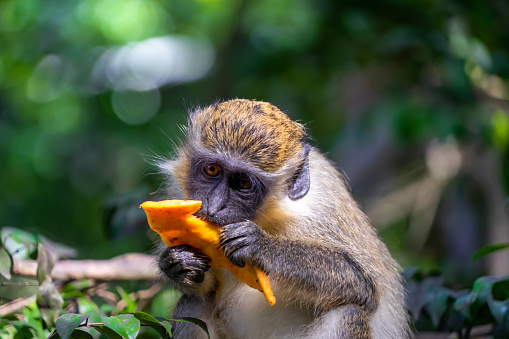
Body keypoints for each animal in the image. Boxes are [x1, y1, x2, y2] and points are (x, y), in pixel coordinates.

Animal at [153, 99, 410, 339]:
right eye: (212, 169)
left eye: (244, 183)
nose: (214, 206)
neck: (268, 216)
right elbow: (204, 290)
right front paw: (177, 262)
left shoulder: (321, 207)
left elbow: (363, 286)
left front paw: (262, 245)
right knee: (193, 302)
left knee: (349, 311)